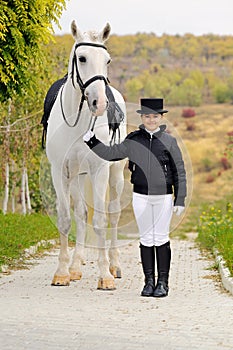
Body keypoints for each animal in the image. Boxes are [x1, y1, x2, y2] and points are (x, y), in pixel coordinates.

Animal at [44, 21, 126, 290]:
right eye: (82, 58)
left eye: (107, 60)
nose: (99, 103)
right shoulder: (60, 172)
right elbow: (66, 219)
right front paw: (62, 272)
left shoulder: (99, 169)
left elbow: (100, 220)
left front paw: (105, 276)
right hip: (78, 176)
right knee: (81, 214)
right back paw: (76, 266)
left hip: (115, 174)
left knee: (113, 212)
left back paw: (115, 265)